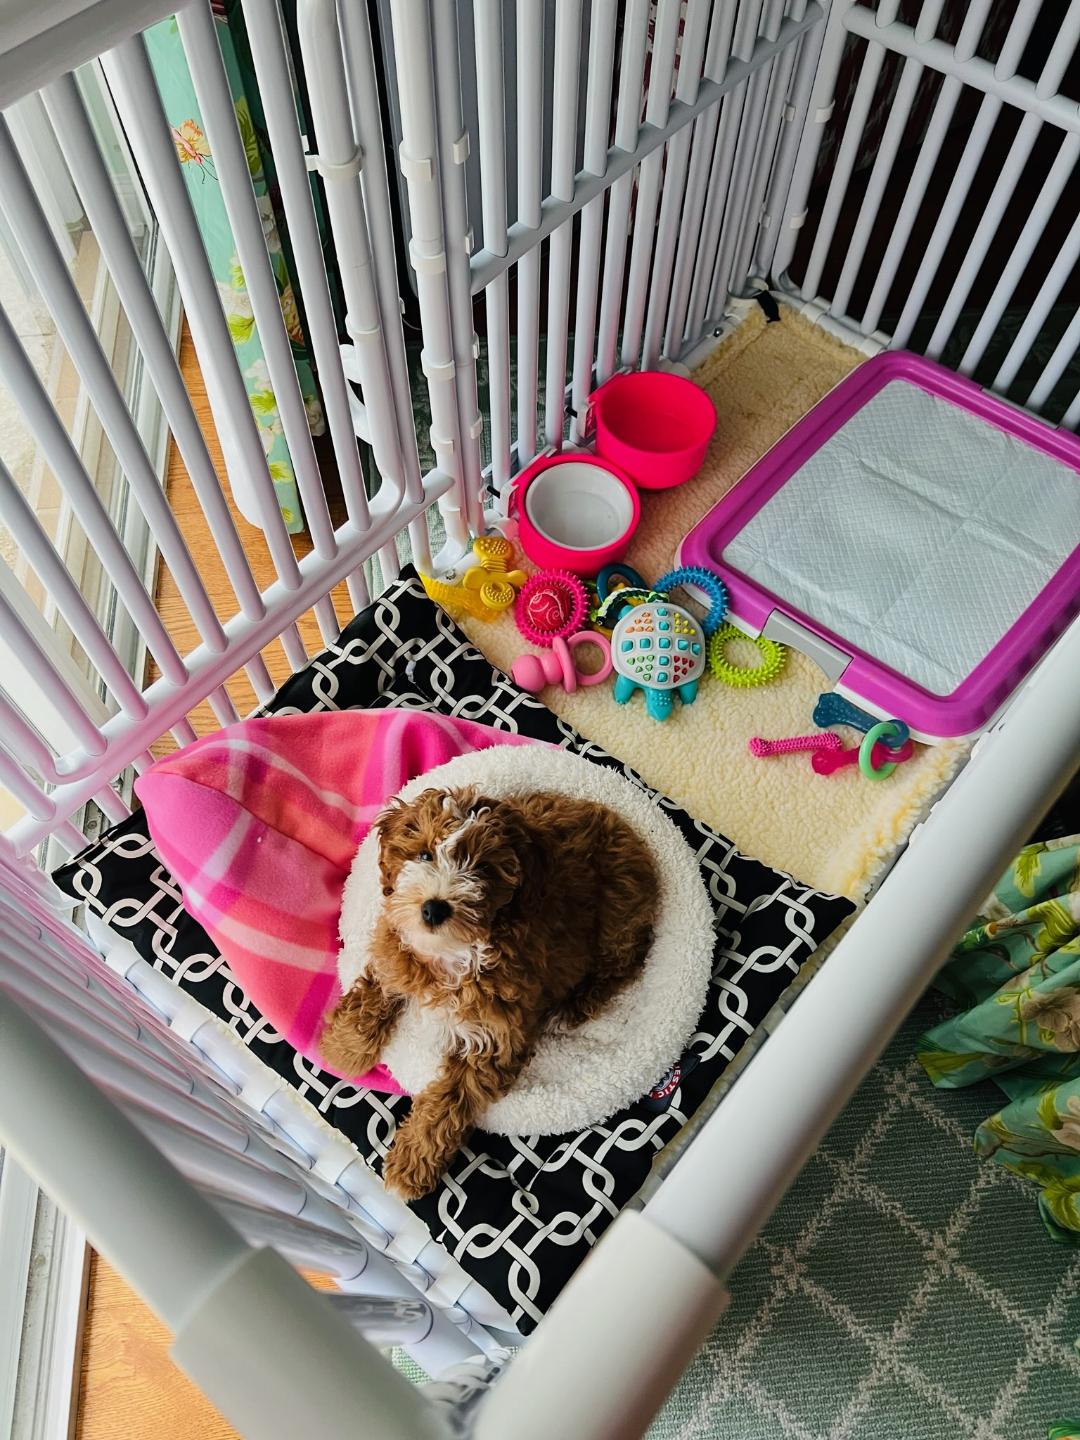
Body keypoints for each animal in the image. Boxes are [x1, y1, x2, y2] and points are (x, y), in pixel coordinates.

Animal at [321, 783, 659, 1198]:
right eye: (424, 854)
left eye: (482, 869)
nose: (433, 909)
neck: (455, 952)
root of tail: (631, 837)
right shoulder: (397, 949)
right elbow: (377, 988)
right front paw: (345, 1049)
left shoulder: (496, 1035)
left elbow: (448, 1103)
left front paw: (411, 1165)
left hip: (617, 916)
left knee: (625, 962)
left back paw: (573, 1007)